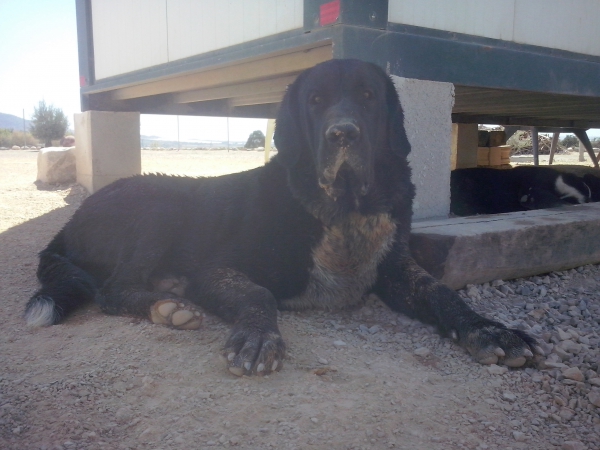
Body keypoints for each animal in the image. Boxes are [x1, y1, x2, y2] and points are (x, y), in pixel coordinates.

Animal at [25, 59, 536, 376]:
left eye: (368, 95)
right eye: (315, 101)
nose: (343, 133)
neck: (342, 209)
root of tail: (65, 226)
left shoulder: (394, 269)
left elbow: (441, 292)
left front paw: (491, 329)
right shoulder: (216, 268)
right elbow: (258, 293)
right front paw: (257, 337)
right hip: (159, 203)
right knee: (112, 291)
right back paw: (165, 305)